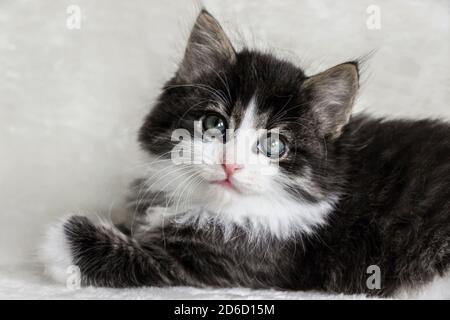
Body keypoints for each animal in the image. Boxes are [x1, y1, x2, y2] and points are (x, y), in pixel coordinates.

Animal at [39, 9, 450, 298]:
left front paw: (55, 240)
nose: (230, 164)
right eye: (214, 124)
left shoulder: (223, 264)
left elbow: (123, 251)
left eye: (274, 145)